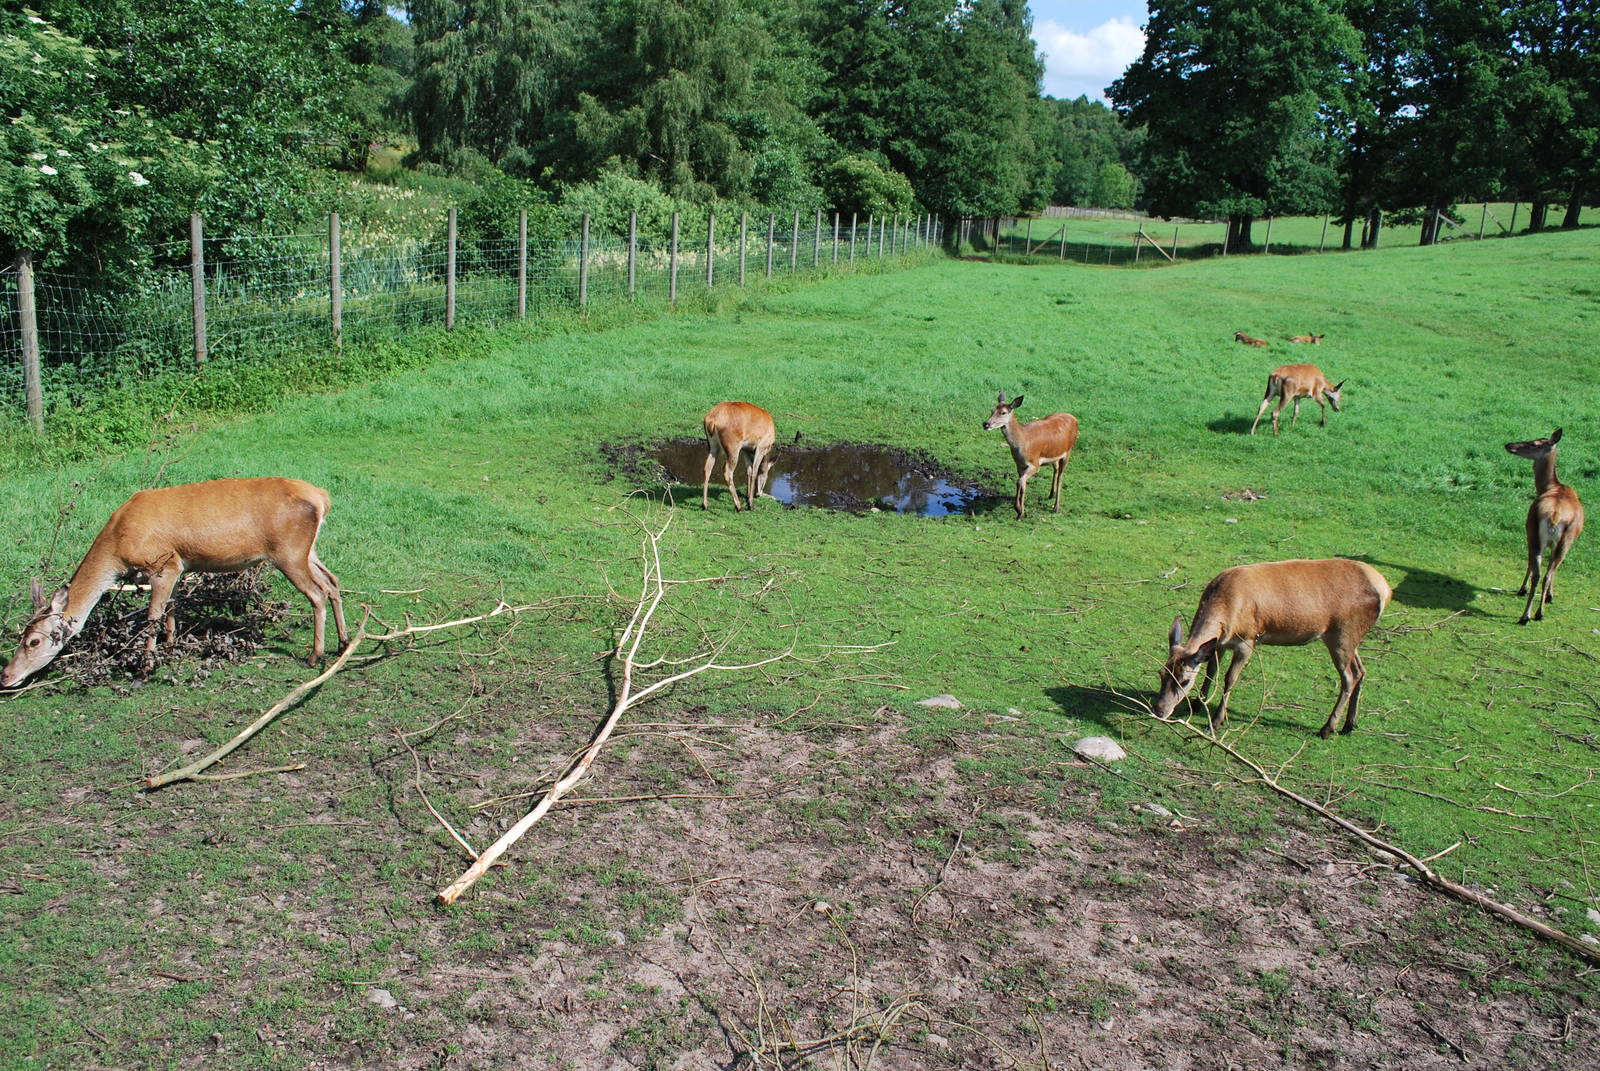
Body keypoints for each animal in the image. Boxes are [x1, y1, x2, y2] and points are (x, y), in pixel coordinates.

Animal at [1, 478, 348, 688]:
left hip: (288, 552)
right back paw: (343, 642)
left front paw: (144, 670)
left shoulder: (162, 563)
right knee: (332, 582)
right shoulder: (180, 565)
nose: (5, 676)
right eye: (21, 635)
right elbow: (172, 607)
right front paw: (170, 646)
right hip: (307, 551)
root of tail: (322, 498)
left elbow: (152, 615)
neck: (118, 545)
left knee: (317, 592)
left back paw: (314, 656)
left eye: (34, 641)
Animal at [982, 391, 1079, 520]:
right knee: (1056, 469)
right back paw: (1051, 495)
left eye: (1003, 412)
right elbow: (1020, 483)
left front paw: (1020, 512)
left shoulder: (1035, 464)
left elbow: (1020, 482)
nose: (986, 424)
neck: (1023, 442)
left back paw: (1056, 508)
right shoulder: (1019, 464)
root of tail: (1074, 418)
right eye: (992, 410)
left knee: (1061, 476)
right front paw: (1019, 509)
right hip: (1054, 455)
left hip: (1068, 451)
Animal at [1154, 558, 1392, 738]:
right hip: (1351, 639)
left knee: (1349, 677)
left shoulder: (1247, 641)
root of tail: (1385, 590)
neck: (1229, 610)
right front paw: (1197, 703)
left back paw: (1327, 729)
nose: (1159, 710)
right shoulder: (1219, 644)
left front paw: (1216, 721)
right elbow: (1212, 671)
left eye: (1184, 680)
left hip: (1342, 634)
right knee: (1361, 671)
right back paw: (1349, 725)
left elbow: (1230, 678)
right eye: (1161, 673)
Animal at [1505, 429, 1585, 625]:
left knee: (1541, 572)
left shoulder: (1531, 532)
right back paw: (1533, 614)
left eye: (1534, 443)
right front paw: (1549, 595)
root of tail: (1555, 516)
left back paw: (1529, 613)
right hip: (1561, 538)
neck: (1550, 486)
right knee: (1544, 573)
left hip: (1534, 530)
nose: (1509, 445)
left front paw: (1539, 593)